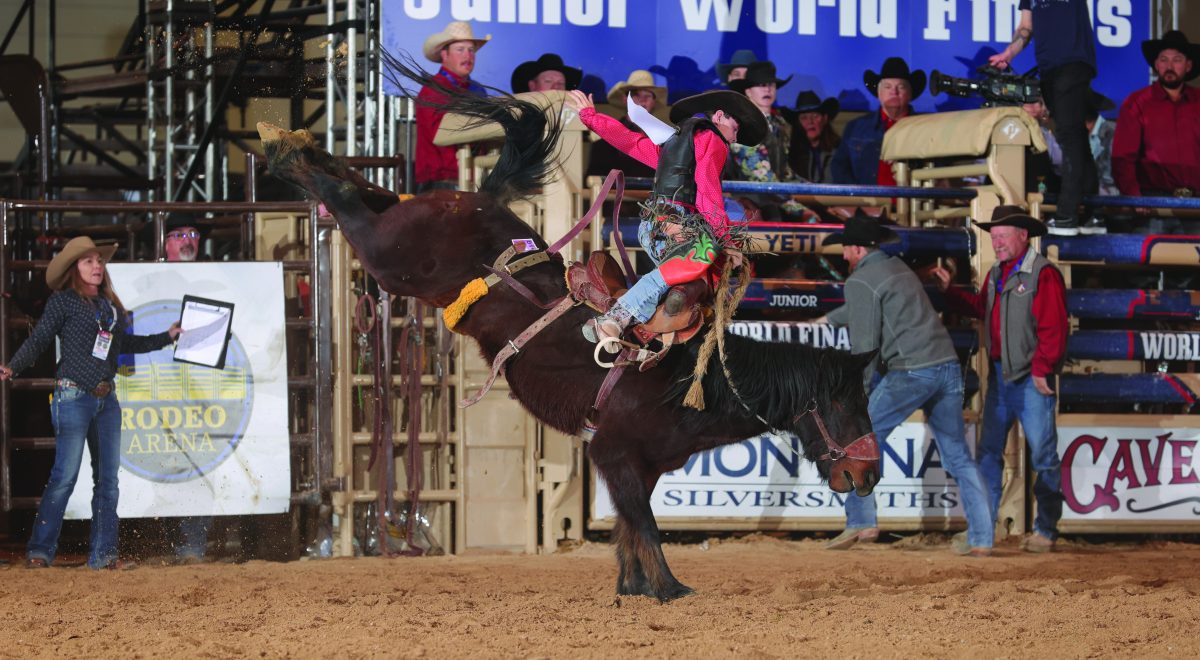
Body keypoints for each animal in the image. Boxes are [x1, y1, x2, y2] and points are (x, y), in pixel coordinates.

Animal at [260, 59, 883, 602]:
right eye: (849, 407)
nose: (870, 473)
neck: (690, 378)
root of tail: (476, 198)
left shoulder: (636, 466)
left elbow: (629, 527)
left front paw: (632, 586)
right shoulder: (614, 452)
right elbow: (645, 525)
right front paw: (668, 589)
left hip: (399, 228)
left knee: (368, 189)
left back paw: (301, 143)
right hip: (391, 256)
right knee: (346, 199)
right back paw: (283, 150)